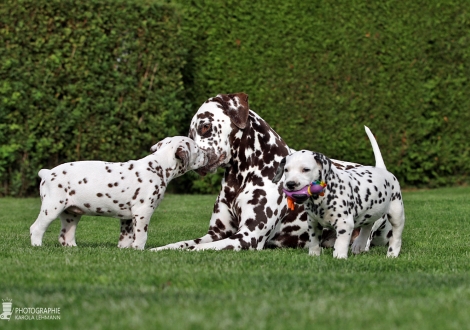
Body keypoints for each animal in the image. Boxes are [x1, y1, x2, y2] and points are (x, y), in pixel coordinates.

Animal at [29, 135, 206, 249]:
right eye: (197, 150)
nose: (207, 154)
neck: (158, 166)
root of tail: (47, 173)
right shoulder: (143, 212)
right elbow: (141, 235)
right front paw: (139, 249)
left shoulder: (127, 217)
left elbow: (126, 237)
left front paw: (125, 249)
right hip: (52, 208)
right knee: (36, 228)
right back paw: (38, 246)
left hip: (71, 214)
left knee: (65, 236)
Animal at [151, 92, 390, 250]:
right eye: (190, 134)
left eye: (205, 127)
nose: (194, 161)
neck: (241, 179)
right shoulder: (215, 233)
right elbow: (182, 244)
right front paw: (158, 249)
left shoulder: (247, 237)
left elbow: (196, 249)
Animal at [274, 126, 406, 258]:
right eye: (286, 170)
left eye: (305, 169)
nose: (290, 184)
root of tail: (381, 169)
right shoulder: (313, 223)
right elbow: (314, 242)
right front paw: (313, 255)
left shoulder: (344, 224)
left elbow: (340, 244)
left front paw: (339, 257)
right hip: (370, 213)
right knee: (367, 227)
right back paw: (359, 244)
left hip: (396, 213)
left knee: (396, 236)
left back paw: (392, 253)